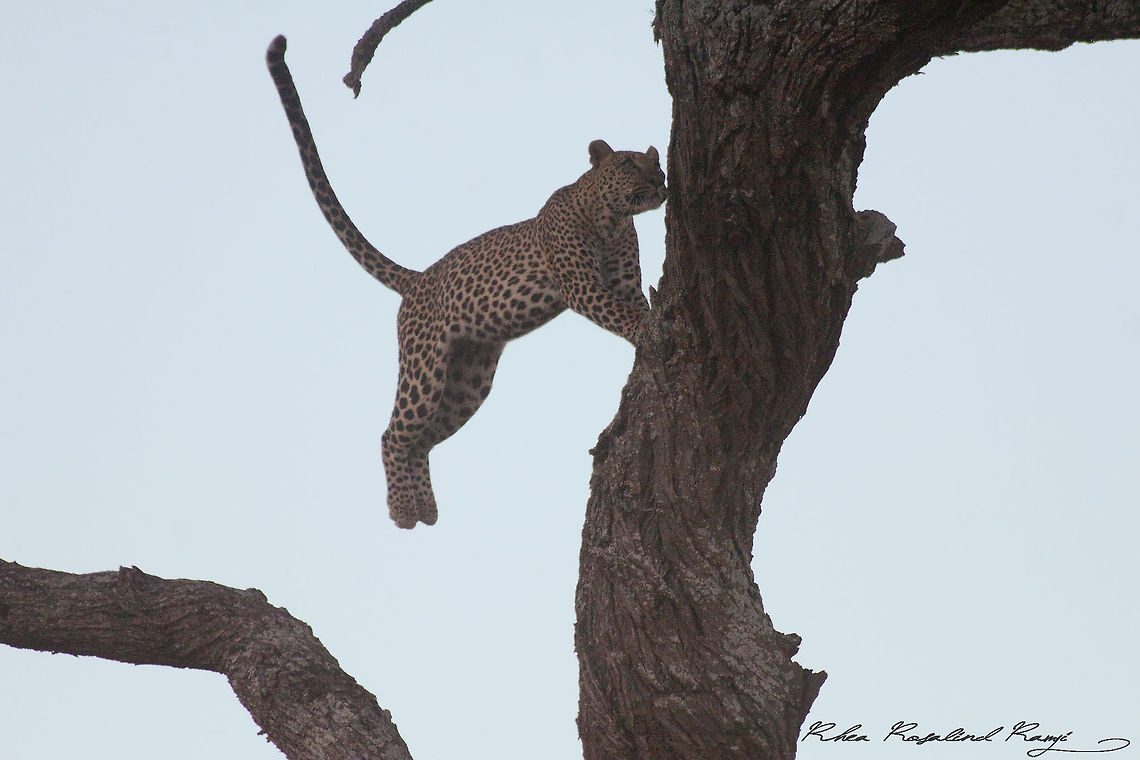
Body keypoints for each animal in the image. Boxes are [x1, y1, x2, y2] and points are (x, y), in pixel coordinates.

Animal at [266, 36, 666, 528]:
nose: (661, 180)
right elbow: (619, 312)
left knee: (421, 438)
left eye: (657, 163)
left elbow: (631, 303)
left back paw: (425, 508)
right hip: (424, 367)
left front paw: (649, 323)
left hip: (466, 381)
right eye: (629, 163)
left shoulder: (624, 281)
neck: (612, 220)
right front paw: (647, 329)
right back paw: (403, 510)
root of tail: (417, 279)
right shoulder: (581, 284)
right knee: (394, 433)